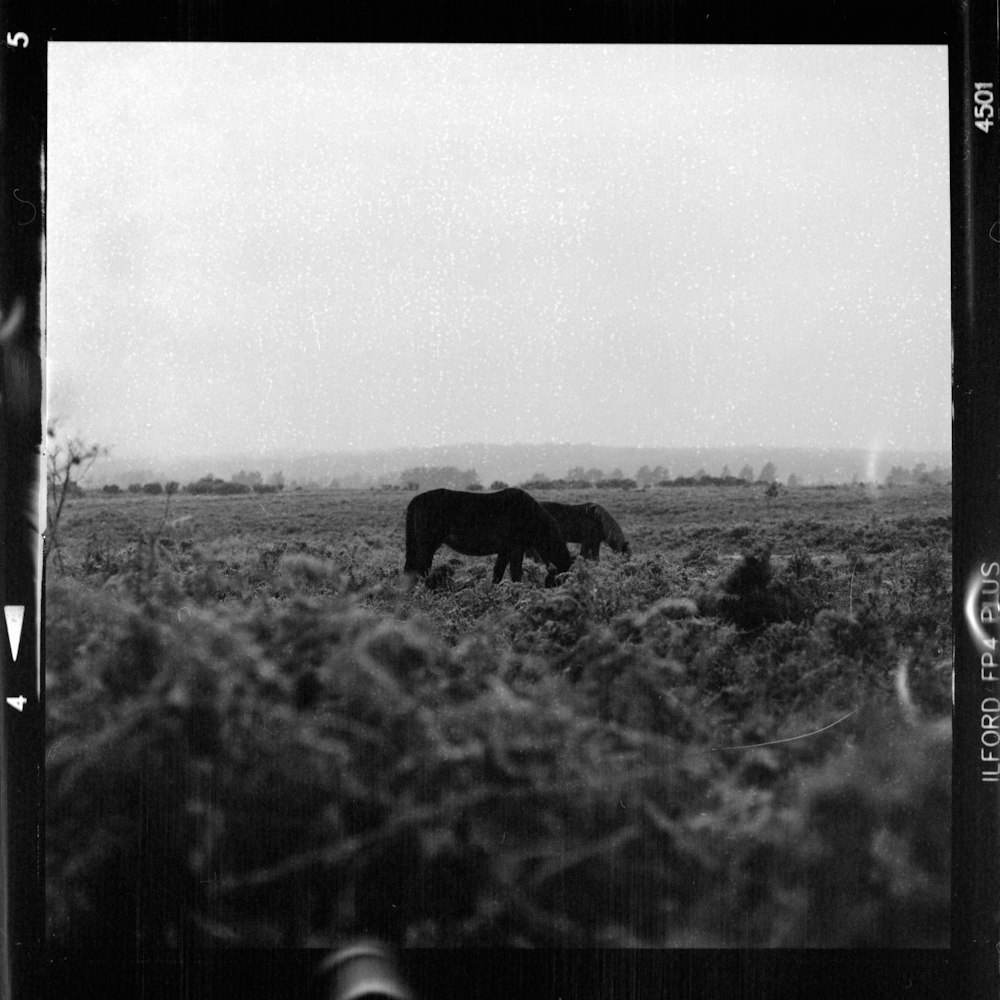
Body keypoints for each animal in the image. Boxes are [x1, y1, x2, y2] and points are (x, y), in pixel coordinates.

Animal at [398, 486, 572, 584]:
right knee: (420, 570)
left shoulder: (505, 550)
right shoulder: (516, 548)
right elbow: (515, 573)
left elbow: (498, 572)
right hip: (428, 546)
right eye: (561, 580)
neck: (529, 514)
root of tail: (416, 499)